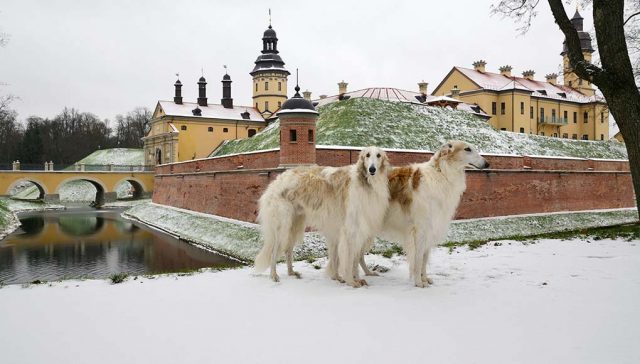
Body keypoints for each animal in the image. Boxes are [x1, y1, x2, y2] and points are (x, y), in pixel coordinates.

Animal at [252, 147, 388, 288]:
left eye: (378, 155)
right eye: (367, 155)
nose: (372, 169)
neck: (364, 183)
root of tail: (275, 182)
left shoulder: (347, 231)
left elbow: (348, 259)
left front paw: (345, 278)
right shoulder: (350, 231)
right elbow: (349, 259)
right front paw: (351, 281)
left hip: (295, 226)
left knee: (288, 250)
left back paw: (291, 272)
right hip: (282, 226)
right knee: (274, 252)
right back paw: (274, 275)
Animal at [372, 142, 488, 288]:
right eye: (467, 149)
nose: (487, 164)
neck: (441, 174)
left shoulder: (429, 229)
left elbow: (424, 259)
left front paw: (425, 279)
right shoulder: (420, 229)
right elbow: (418, 258)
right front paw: (418, 282)